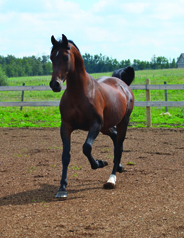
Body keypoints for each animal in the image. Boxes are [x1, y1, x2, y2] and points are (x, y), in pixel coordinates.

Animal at [49, 33, 134, 197]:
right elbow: (65, 155)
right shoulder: (66, 126)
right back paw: (119, 166)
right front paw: (62, 188)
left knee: (118, 147)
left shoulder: (95, 124)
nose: (55, 84)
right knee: (115, 138)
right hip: (106, 127)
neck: (79, 93)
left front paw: (99, 163)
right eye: (51, 57)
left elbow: (86, 147)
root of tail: (122, 84)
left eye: (65, 57)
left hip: (122, 123)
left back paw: (111, 179)